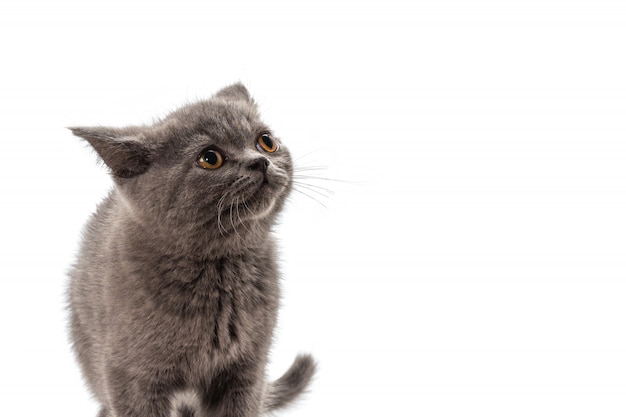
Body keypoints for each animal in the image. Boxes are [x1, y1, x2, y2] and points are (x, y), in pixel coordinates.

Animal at [67, 84, 316, 416]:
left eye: (266, 141)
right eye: (210, 158)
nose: (260, 161)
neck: (220, 271)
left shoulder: (246, 370)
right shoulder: (131, 377)